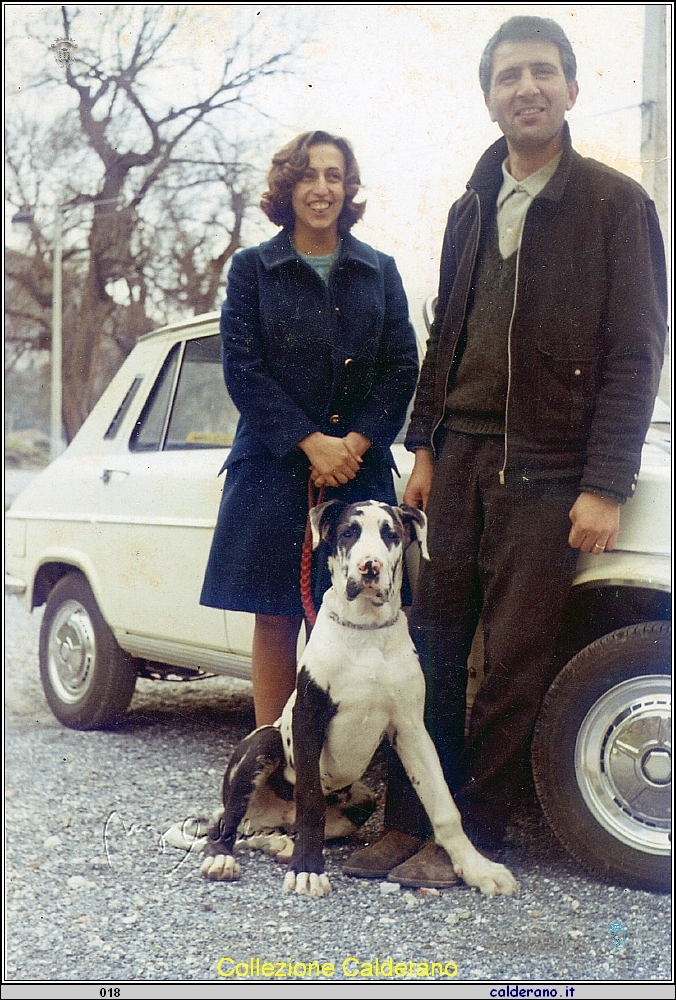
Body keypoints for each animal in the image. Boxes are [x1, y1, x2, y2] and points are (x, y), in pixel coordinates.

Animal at [201, 500, 516, 900]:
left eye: (391, 534)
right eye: (348, 532)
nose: (370, 567)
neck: (366, 631)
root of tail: (268, 816)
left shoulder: (412, 731)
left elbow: (444, 807)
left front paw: (477, 867)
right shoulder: (308, 721)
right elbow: (311, 801)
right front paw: (307, 870)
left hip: (363, 797)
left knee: (264, 833)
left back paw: (281, 844)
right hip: (262, 744)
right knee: (229, 821)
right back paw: (222, 857)